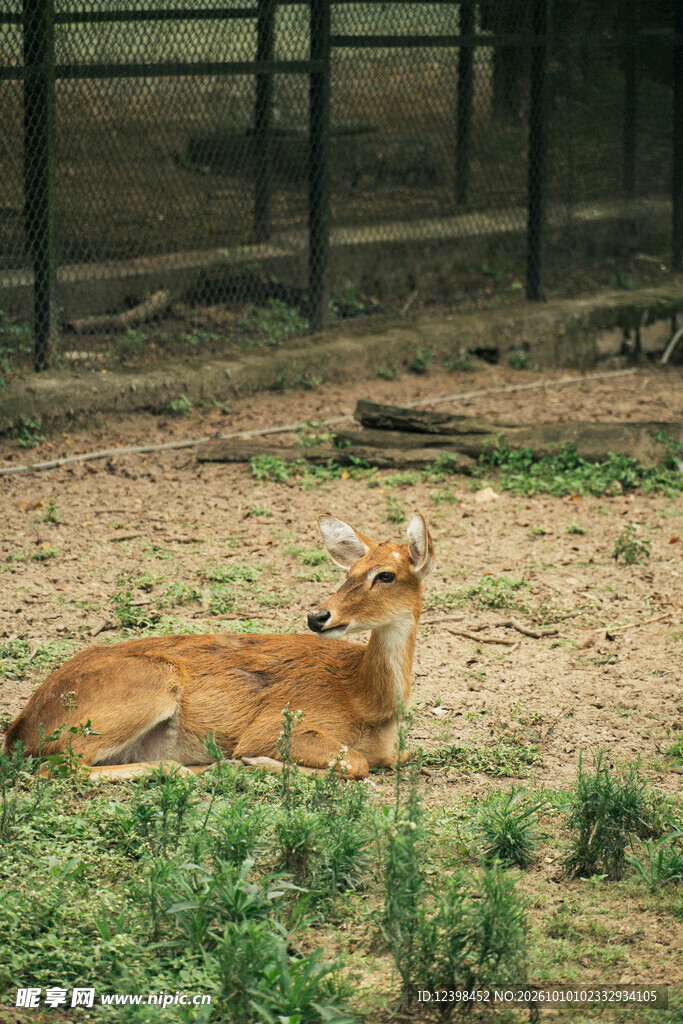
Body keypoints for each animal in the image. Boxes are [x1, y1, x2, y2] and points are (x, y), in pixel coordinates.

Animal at [3, 513, 435, 781]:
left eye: (386, 575)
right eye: (350, 572)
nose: (318, 616)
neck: (366, 703)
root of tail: (20, 733)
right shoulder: (277, 723)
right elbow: (357, 763)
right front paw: (254, 762)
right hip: (150, 682)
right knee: (59, 766)